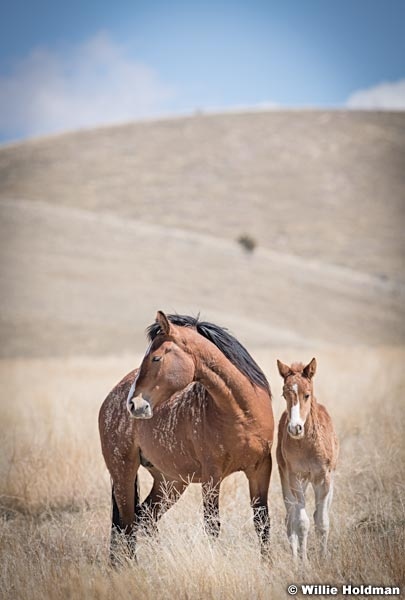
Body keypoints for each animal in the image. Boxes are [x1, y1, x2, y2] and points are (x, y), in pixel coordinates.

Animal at [98, 312, 274, 560]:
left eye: (156, 358)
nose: (134, 404)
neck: (242, 413)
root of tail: (110, 398)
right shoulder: (212, 476)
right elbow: (212, 525)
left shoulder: (261, 468)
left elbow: (262, 522)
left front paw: (267, 563)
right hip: (123, 472)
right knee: (127, 523)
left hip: (170, 481)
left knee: (144, 516)